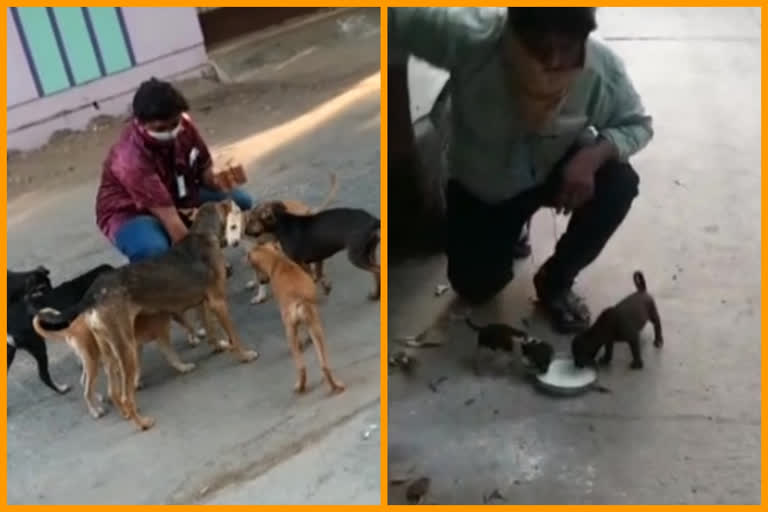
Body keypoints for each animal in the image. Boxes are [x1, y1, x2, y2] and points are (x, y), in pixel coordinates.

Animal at [32, 308, 198, 420]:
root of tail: (70, 329)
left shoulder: (136, 346)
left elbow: (138, 367)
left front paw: (136, 382)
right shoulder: (161, 337)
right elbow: (172, 356)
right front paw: (184, 367)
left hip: (93, 361)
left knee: (83, 381)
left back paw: (99, 398)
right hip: (93, 362)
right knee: (86, 390)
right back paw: (95, 411)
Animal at [244, 200, 380, 300]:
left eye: (251, 220)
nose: (244, 231)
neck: (283, 224)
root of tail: (373, 220)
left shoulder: (301, 263)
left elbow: (312, 279)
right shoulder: (318, 258)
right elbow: (318, 275)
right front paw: (326, 287)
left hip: (356, 256)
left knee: (377, 270)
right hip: (369, 253)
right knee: (375, 272)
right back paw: (376, 294)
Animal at [248, 242, 344, 394]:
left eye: (255, 269)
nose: (261, 281)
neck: (277, 261)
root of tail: (299, 301)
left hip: (290, 334)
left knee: (301, 367)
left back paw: (300, 386)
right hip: (316, 328)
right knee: (324, 365)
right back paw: (336, 385)